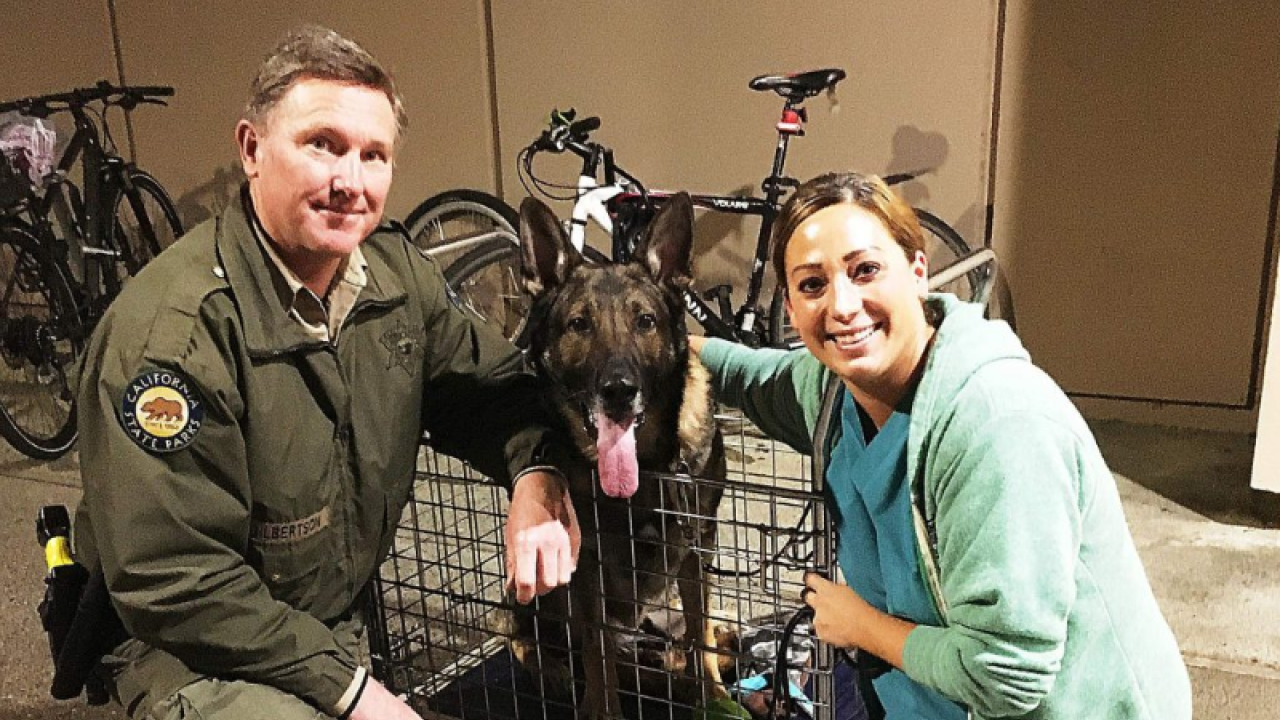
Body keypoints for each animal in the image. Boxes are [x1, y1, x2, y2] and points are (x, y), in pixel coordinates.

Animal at [514, 193, 727, 712]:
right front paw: (600, 708)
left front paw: (712, 696)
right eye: (578, 324)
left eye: (645, 321)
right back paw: (553, 671)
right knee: (520, 632)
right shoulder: (583, 563)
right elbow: (596, 649)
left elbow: (702, 632)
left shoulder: (698, 547)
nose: (618, 391)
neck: (646, 469)